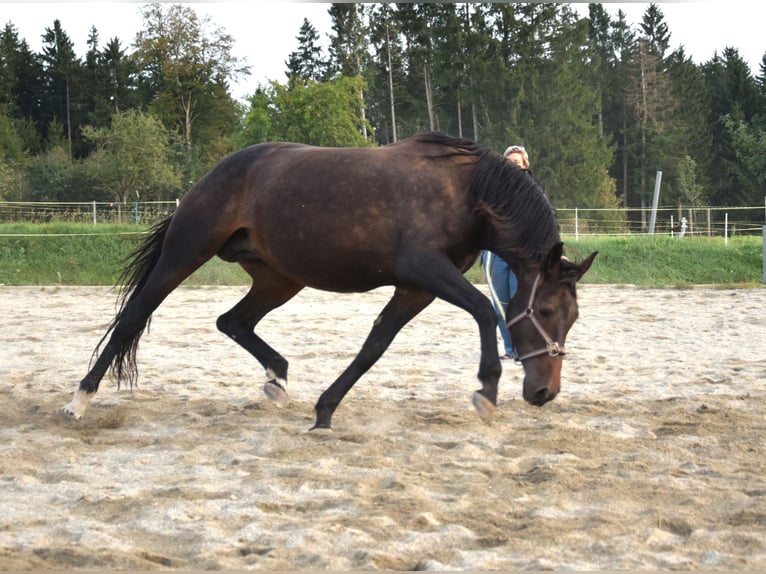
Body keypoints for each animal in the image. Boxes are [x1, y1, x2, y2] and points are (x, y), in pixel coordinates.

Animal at [60, 132, 596, 430]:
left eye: (573, 319)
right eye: (545, 311)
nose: (544, 392)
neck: (467, 192)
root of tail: (214, 173)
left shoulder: (417, 288)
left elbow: (373, 346)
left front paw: (324, 412)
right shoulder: (427, 271)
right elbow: (485, 310)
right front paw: (486, 392)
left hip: (279, 279)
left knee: (232, 321)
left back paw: (277, 378)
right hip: (185, 253)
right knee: (133, 317)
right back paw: (79, 402)